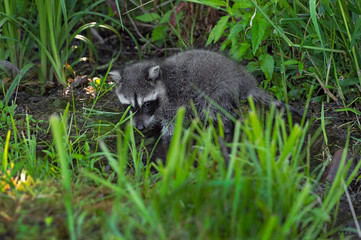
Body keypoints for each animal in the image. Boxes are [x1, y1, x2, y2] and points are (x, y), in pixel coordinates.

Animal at [109, 49, 300, 138]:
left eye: (147, 104)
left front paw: (164, 140)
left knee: (214, 109)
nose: (140, 127)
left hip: (220, 89)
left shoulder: (175, 104)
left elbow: (172, 126)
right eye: (130, 106)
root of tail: (246, 80)